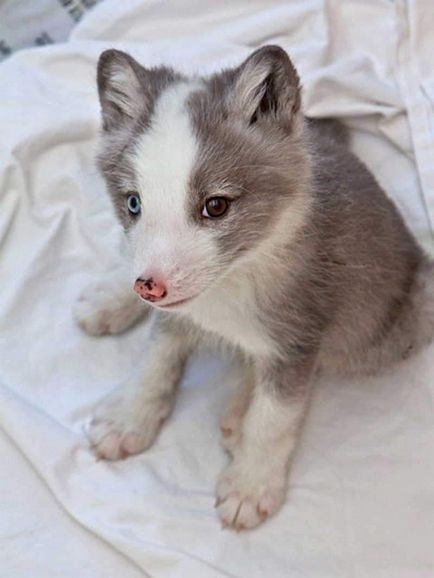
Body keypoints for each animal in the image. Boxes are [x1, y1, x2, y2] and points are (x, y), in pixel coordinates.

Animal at [74, 45, 434, 528]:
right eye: (133, 203)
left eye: (216, 206)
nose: (150, 287)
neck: (235, 279)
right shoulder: (175, 309)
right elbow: (155, 359)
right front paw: (131, 417)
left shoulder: (302, 334)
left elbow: (276, 415)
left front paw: (251, 483)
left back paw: (239, 413)